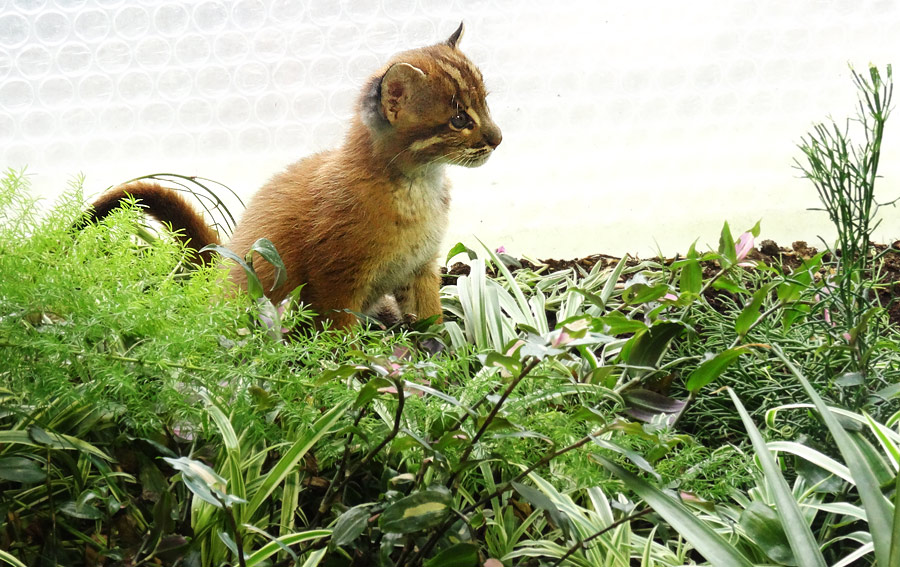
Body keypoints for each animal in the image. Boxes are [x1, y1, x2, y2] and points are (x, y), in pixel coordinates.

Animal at [85, 23, 502, 328]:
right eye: (459, 119)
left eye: (485, 104)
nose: (498, 139)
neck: (420, 185)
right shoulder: (338, 280)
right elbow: (339, 337)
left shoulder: (421, 268)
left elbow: (431, 320)